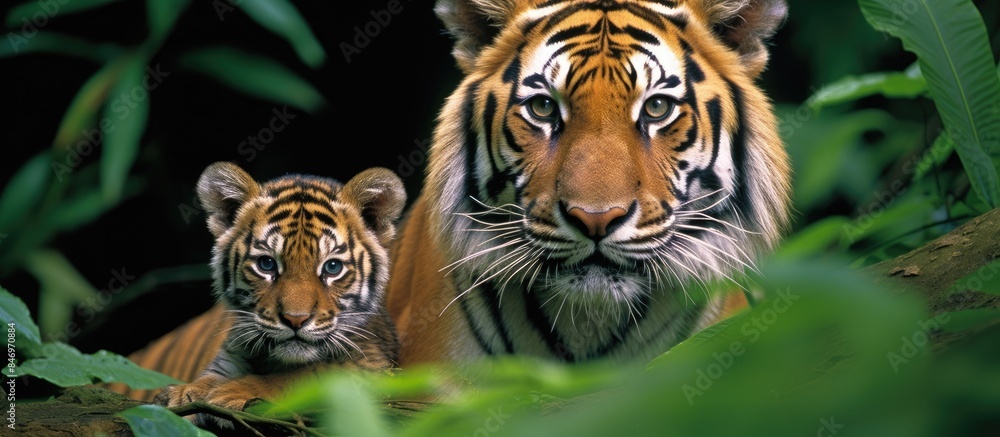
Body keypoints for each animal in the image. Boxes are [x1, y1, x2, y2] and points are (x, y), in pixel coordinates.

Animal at [112, 161, 406, 415]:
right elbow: (210, 378)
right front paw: (183, 392)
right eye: (267, 264)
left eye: (332, 267)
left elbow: (302, 376)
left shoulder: (369, 366)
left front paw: (230, 393)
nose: (295, 320)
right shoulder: (229, 357)